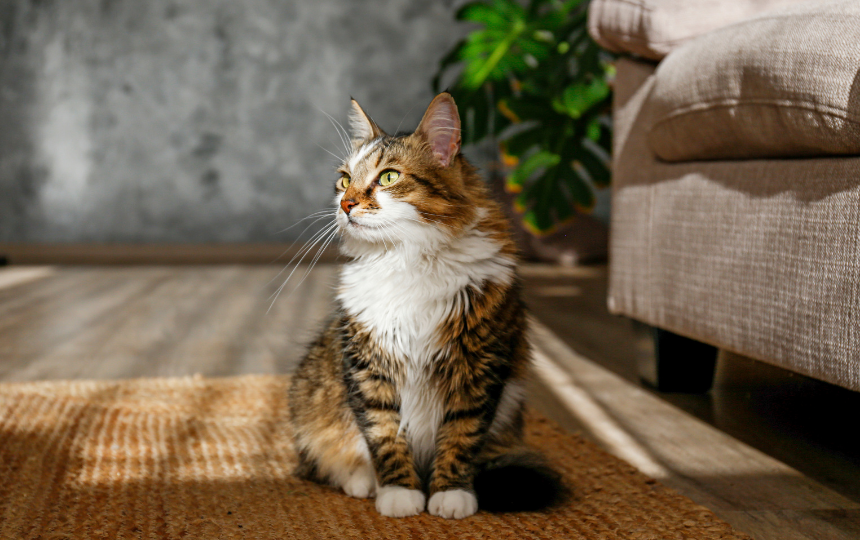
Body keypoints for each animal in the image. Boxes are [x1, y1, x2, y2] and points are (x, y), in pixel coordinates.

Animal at [286, 93, 560, 520]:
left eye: (388, 177)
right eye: (345, 179)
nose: (345, 204)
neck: (407, 260)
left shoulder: (478, 367)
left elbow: (461, 436)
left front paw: (450, 494)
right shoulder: (368, 367)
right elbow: (384, 436)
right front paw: (400, 493)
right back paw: (361, 482)